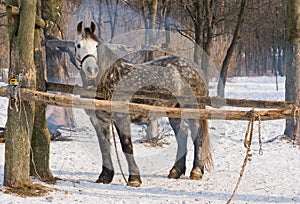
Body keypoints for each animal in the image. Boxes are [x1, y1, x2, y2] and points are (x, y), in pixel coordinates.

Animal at [74, 21, 212, 186]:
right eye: (78, 45)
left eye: (96, 46)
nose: (92, 70)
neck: (109, 80)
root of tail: (195, 68)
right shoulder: (99, 119)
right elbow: (104, 146)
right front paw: (105, 177)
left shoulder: (121, 117)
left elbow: (126, 146)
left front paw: (134, 179)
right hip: (173, 111)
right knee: (183, 134)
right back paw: (175, 171)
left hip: (192, 109)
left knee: (197, 135)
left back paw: (196, 171)